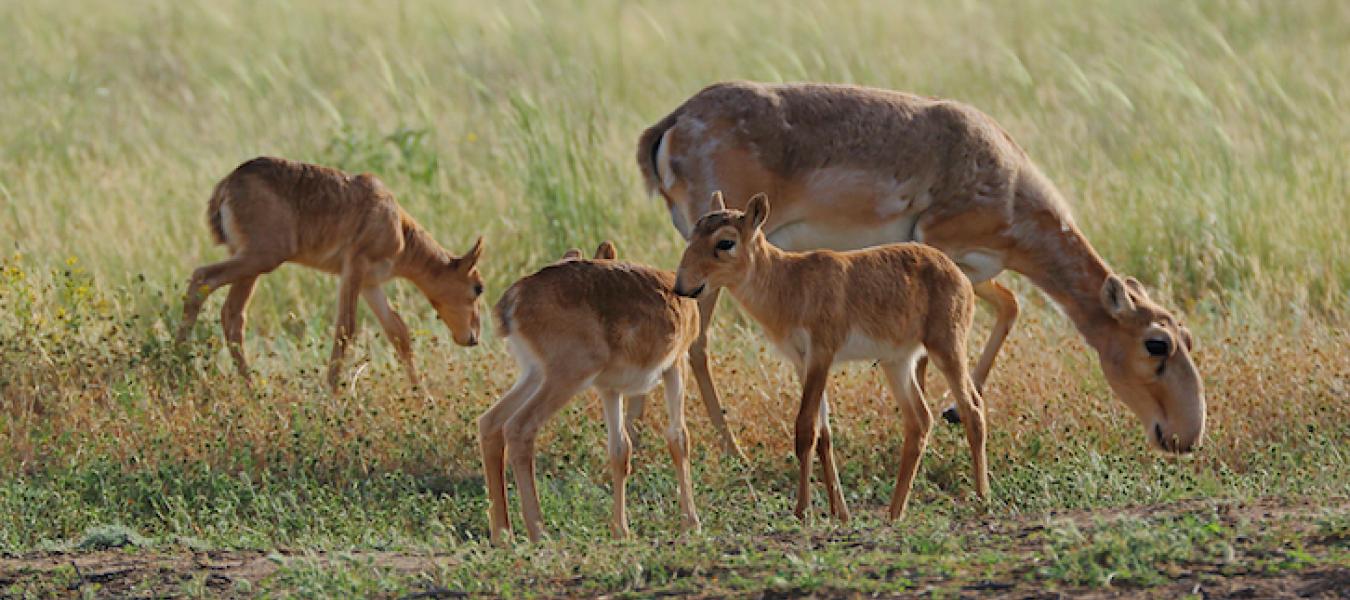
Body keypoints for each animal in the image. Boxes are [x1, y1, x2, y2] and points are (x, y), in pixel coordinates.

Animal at [176, 156, 486, 389]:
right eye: (478, 287)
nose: (473, 338)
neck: (398, 224)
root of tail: (228, 184)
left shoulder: (370, 284)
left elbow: (398, 332)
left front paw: (421, 394)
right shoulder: (354, 268)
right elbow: (346, 327)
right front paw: (331, 394)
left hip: (249, 262)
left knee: (233, 315)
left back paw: (248, 388)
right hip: (261, 258)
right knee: (202, 278)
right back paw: (180, 370)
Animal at [480, 241, 702, 540]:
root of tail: (514, 299)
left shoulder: (610, 389)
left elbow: (620, 449)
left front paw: (621, 530)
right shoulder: (676, 366)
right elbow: (679, 438)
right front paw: (692, 523)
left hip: (534, 374)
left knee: (491, 422)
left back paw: (503, 534)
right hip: (564, 379)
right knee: (518, 427)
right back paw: (539, 531)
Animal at [637, 79, 1209, 454]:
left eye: (1187, 336)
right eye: (1156, 344)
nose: (1186, 437)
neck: (1006, 180)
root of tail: (672, 123)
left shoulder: (977, 269)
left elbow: (1011, 306)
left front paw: (954, 409)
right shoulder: (940, 250)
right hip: (710, 272)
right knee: (697, 343)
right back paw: (730, 448)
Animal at [672, 191, 982, 521]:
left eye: (725, 242)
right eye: (692, 235)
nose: (682, 286)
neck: (789, 283)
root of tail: (958, 273)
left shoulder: (821, 356)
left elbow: (805, 429)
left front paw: (802, 510)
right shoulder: (802, 363)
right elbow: (824, 435)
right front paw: (840, 512)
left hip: (947, 348)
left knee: (972, 407)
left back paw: (981, 497)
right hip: (897, 363)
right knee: (920, 421)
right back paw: (895, 512)